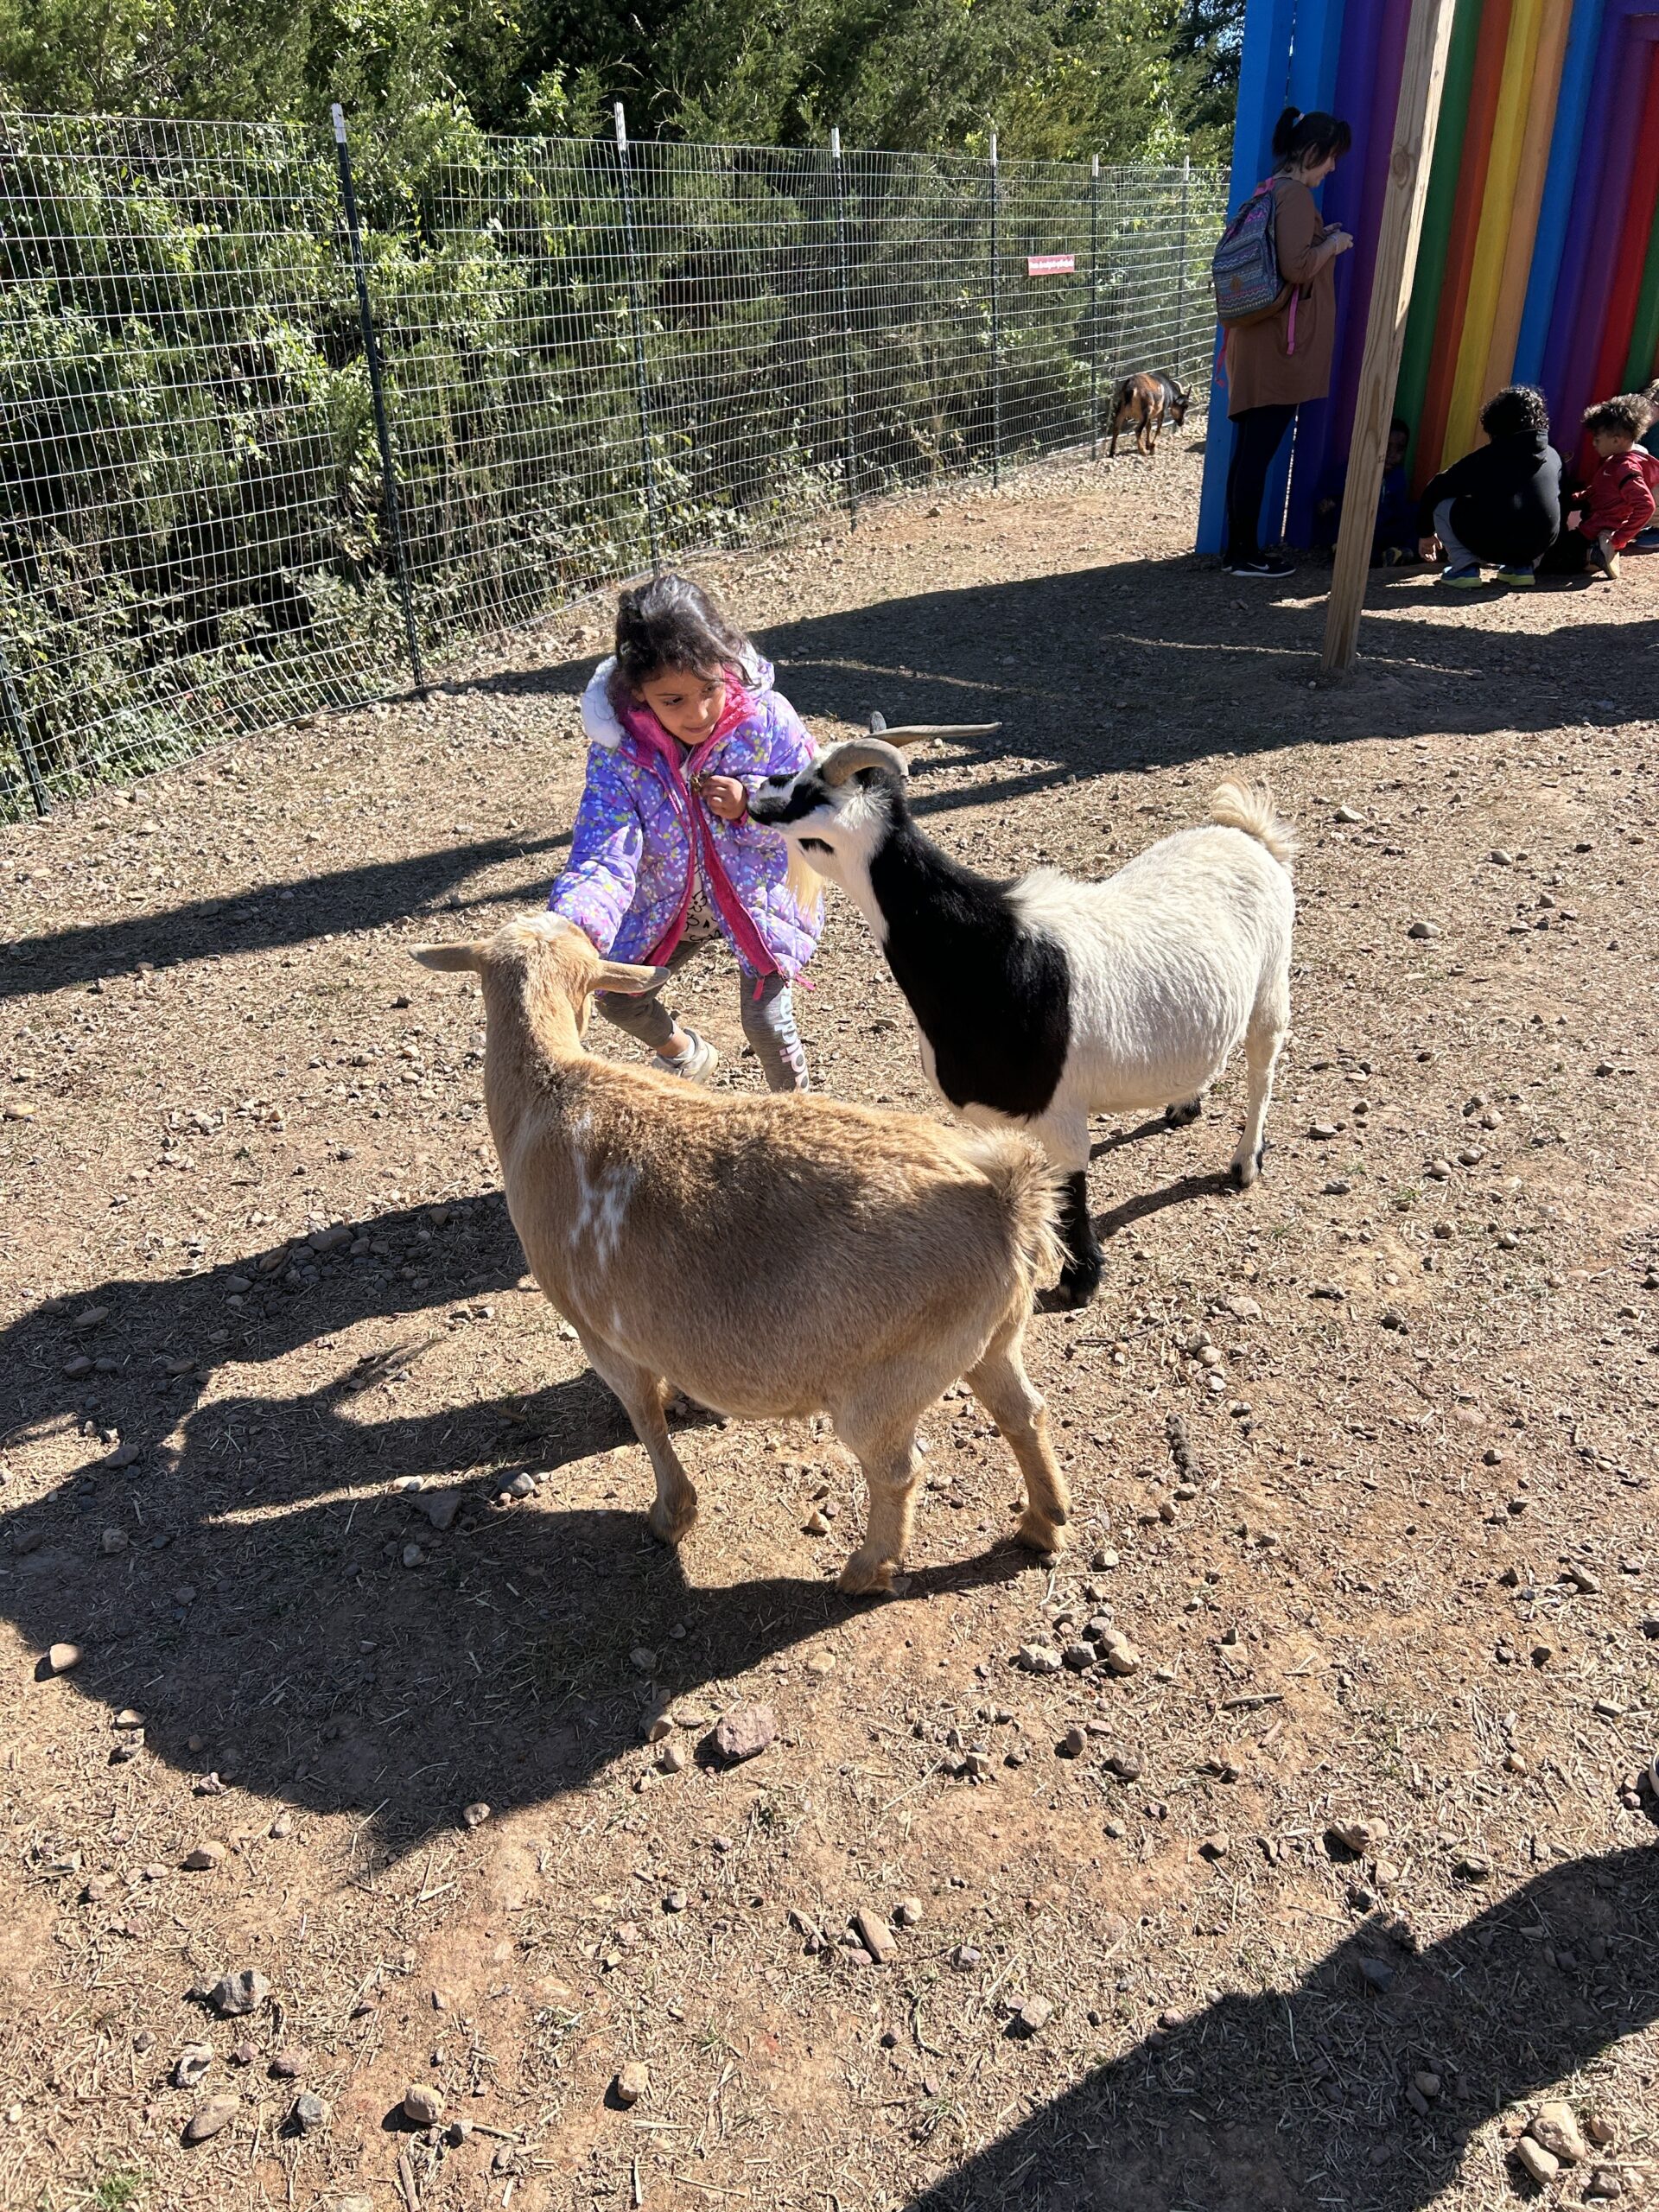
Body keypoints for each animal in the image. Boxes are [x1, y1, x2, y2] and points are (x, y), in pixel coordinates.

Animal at [409, 913, 1071, 1593]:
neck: (548, 1095)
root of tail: (1003, 1205)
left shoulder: (598, 1331)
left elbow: (642, 1416)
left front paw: (670, 1515)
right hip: (992, 1337)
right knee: (1025, 1413)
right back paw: (1042, 1524)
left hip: (888, 1378)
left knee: (899, 1468)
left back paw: (864, 1571)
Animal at [750, 738, 1295, 1307]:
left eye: (811, 791)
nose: (756, 790)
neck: (990, 950)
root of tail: (1246, 832)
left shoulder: (1062, 1113)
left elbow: (1073, 1189)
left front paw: (1080, 1280)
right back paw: (1185, 1103)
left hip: (1271, 984)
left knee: (1263, 1069)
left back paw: (1246, 1162)